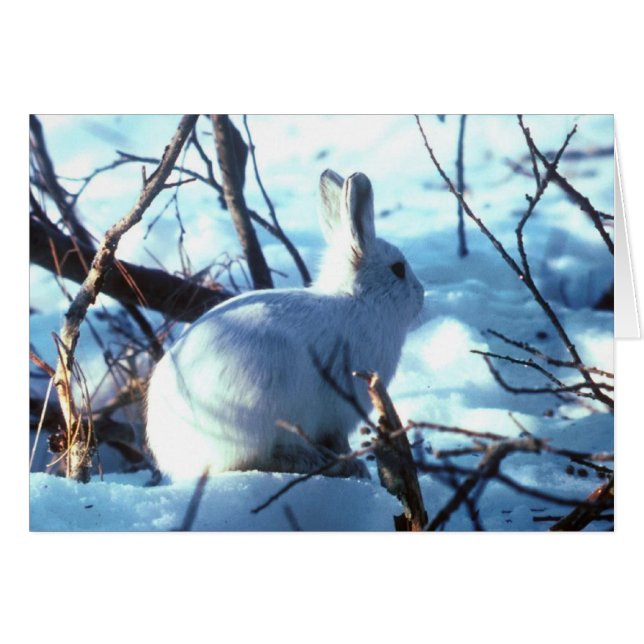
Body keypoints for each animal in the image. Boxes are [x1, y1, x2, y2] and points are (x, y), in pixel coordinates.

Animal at [145, 170, 424, 480]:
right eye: (398, 269)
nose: (421, 295)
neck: (359, 300)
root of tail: (178, 458)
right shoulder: (339, 408)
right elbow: (338, 439)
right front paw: (354, 464)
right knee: (250, 461)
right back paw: (311, 461)